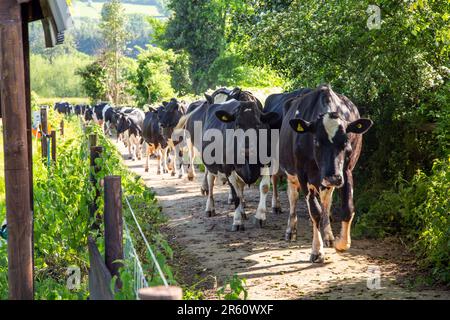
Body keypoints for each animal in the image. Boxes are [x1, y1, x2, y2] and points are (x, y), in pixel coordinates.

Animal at [276, 85, 374, 262]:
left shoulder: (346, 171)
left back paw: (328, 235)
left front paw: (341, 243)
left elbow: (347, 208)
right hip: (292, 174)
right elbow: (314, 211)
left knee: (326, 201)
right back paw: (291, 230)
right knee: (293, 196)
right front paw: (316, 250)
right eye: (316, 141)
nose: (333, 177)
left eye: (346, 141)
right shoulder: (302, 174)